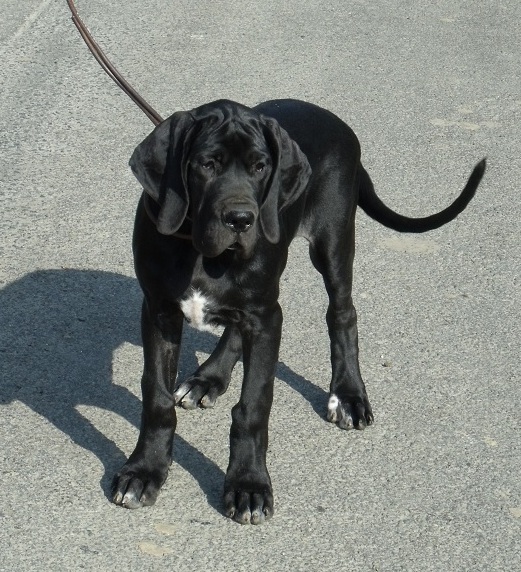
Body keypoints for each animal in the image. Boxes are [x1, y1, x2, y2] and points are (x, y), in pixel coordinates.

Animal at [111, 98, 486, 524]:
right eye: (207, 164)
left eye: (260, 167)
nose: (242, 219)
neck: (200, 251)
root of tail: (337, 122)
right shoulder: (160, 310)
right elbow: (156, 397)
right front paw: (144, 471)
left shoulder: (266, 317)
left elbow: (254, 405)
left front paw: (249, 485)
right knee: (238, 326)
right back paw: (209, 378)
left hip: (333, 243)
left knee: (343, 314)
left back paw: (349, 395)